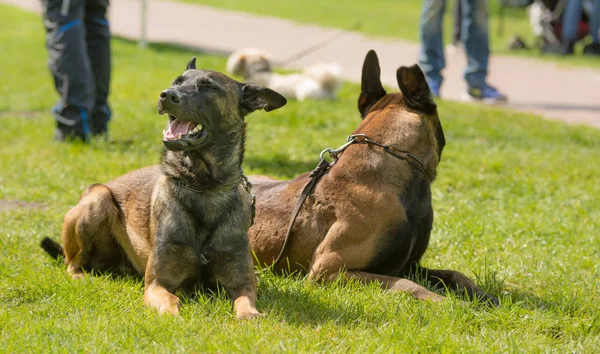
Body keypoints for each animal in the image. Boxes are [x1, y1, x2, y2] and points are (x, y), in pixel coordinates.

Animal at [41, 58, 288, 318]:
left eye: (209, 87)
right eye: (177, 82)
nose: (167, 95)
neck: (204, 187)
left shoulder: (242, 284)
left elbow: (246, 305)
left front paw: (249, 316)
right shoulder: (157, 284)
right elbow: (171, 303)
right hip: (98, 198)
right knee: (72, 262)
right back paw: (80, 275)